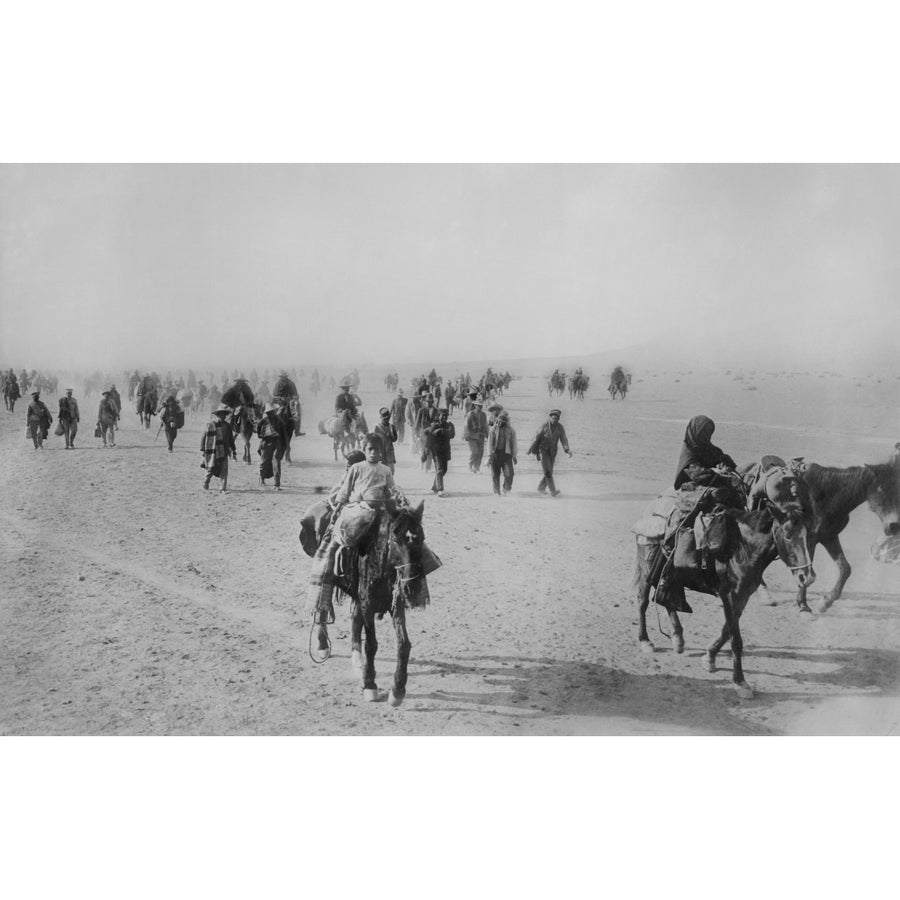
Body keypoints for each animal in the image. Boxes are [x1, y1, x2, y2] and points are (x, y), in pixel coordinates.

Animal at [304, 502, 430, 708]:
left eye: (421, 537)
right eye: (395, 538)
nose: (412, 585)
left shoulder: (395, 605)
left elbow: (403, 644)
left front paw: (398, 689)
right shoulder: (368, 604)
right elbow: (371, 644)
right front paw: (370, 684)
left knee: (355, 621)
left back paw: (357, 660)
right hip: (329, 578)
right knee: (323, 608)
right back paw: (323, 645)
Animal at [632, 502, 816, 700]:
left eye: (808, 535)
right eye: (788, 535)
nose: (807, 577)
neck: (742, 549)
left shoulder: (743, 596)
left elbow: (727, 630)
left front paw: (709, 656)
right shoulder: (729, 595)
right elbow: (736, 640)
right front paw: (740, 682)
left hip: (671, 576)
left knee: (666, 598)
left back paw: (677, 637)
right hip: (647, 570)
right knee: (643, 601)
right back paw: (645, 640)